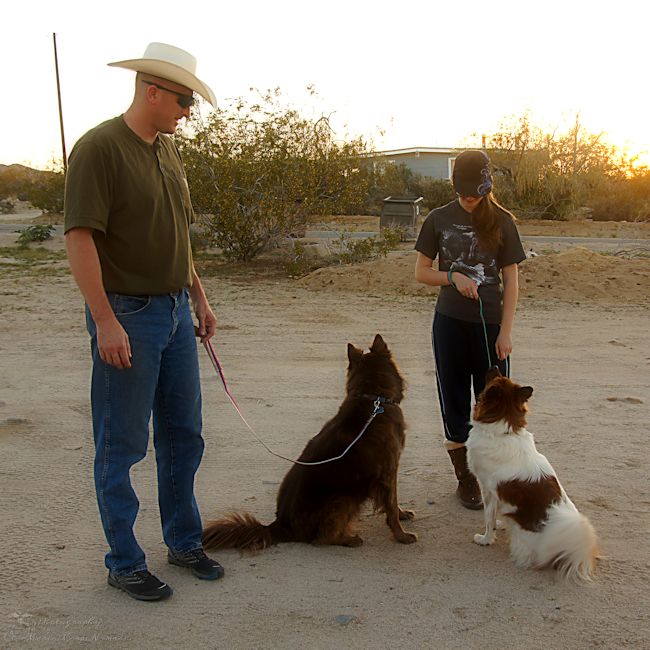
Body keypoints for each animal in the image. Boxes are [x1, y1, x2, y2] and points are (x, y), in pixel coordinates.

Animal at [202, 336, 416, 548]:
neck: (374, 398)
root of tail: (280, 526)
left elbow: (394, 503)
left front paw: (403, 514)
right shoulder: (388, 470)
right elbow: (391, 505)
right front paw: (401, 535)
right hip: (344, 497)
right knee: (323, 538)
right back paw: (349, 539)